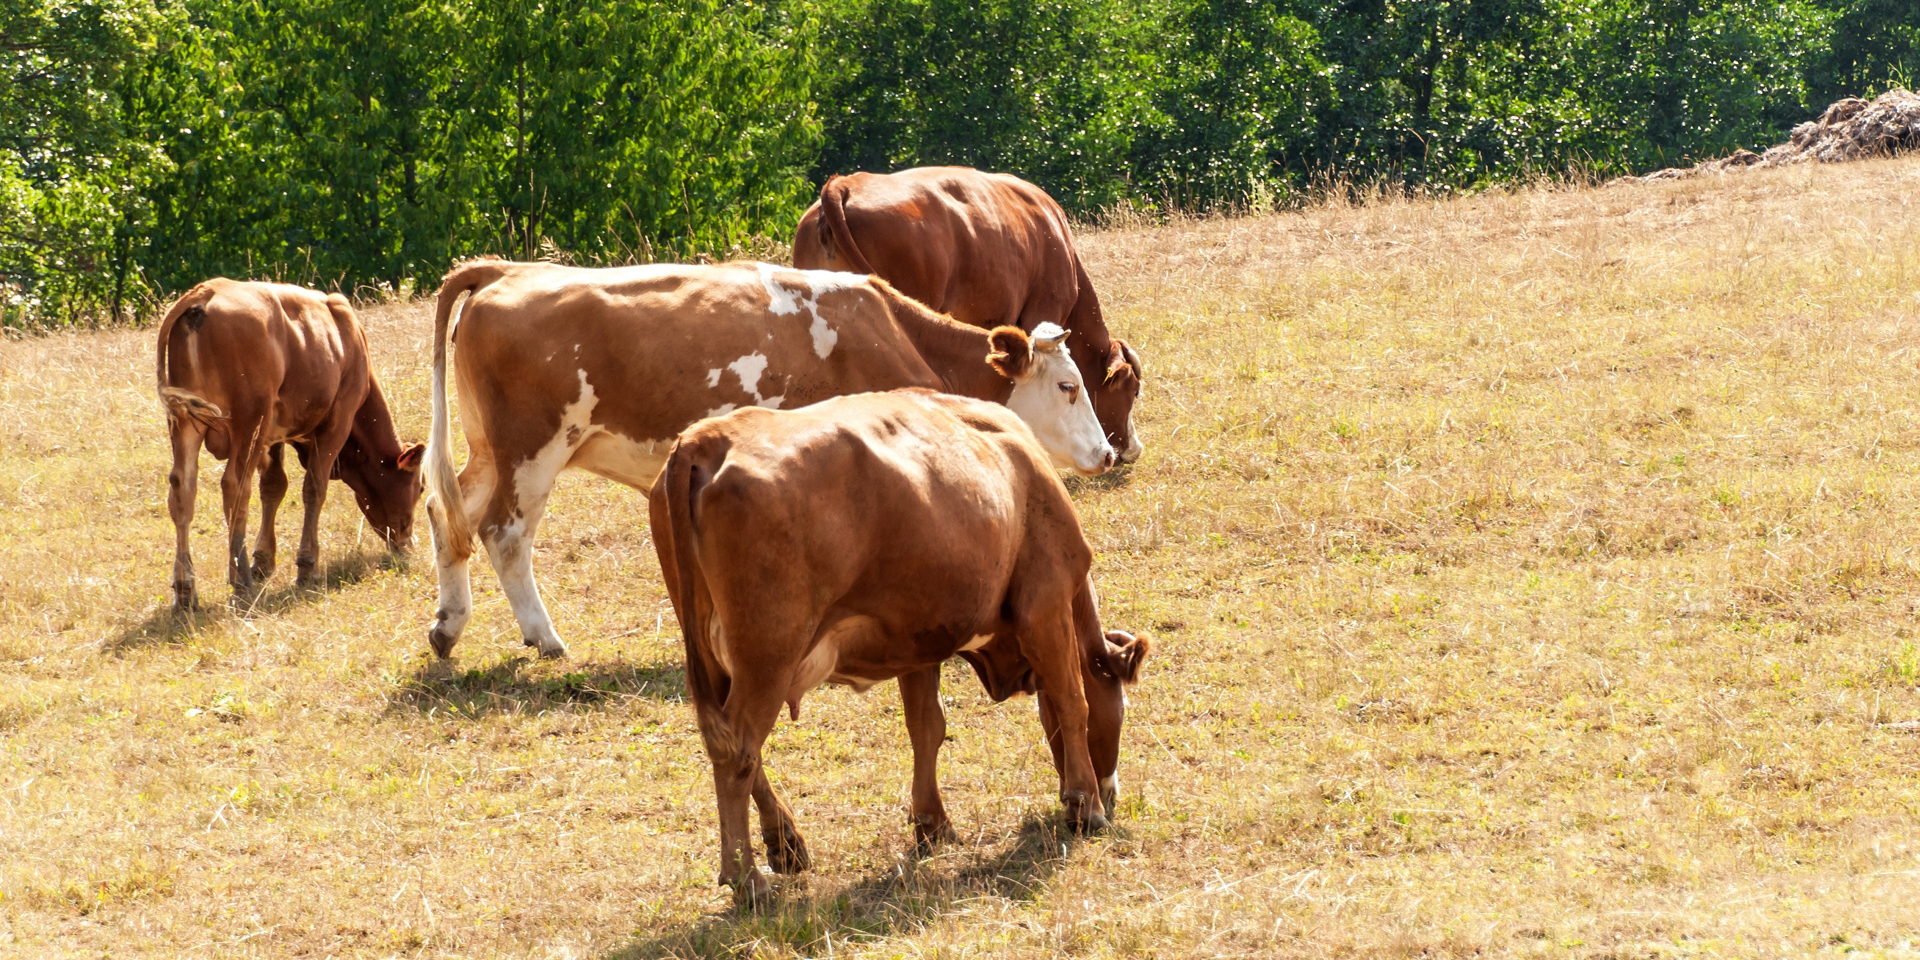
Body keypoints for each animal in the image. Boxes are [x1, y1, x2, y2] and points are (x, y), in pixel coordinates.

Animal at [156, 278, 428, 610]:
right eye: (421, 487)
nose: (407, 544)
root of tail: (204, 292)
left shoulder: (274, 436)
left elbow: (274, 486)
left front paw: (263, 561)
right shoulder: (337, 422)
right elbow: (314, 488)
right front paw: (307, 565)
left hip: (186, 424)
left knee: (183, 489)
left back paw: (185, 589)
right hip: (249, 421)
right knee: (235, 487)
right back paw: (239, 579)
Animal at [420, 257, 1113, 660]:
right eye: (1067, 386)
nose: (1107, 452)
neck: (889, 330)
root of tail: (505, 271)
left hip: (490, 453)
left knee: (447, 514)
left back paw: (449, 625)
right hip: (532, 452)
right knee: (503, 533)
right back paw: (544, 637)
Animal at [652, 387, 1144, 898]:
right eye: (1121, 708)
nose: (1112, 791)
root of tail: (707, 437)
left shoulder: (918, 640)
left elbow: (927, 726)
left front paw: (933, 823)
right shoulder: (1046, 604)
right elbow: (1071, 701)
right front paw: (1086, 805)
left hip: (722, 661)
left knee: (733, 746)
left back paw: (785, 842)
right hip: (768, 656)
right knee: (739, 749)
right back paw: (746, 877)